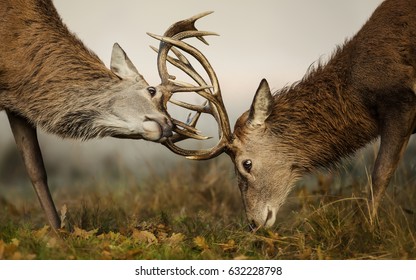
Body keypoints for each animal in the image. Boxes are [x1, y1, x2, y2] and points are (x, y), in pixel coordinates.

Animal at [151, 0, 416, 230]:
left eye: (246, 163)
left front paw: (368, 230)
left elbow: (379, 175)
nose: (253, 223)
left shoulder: (400, 100)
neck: (357, 88)